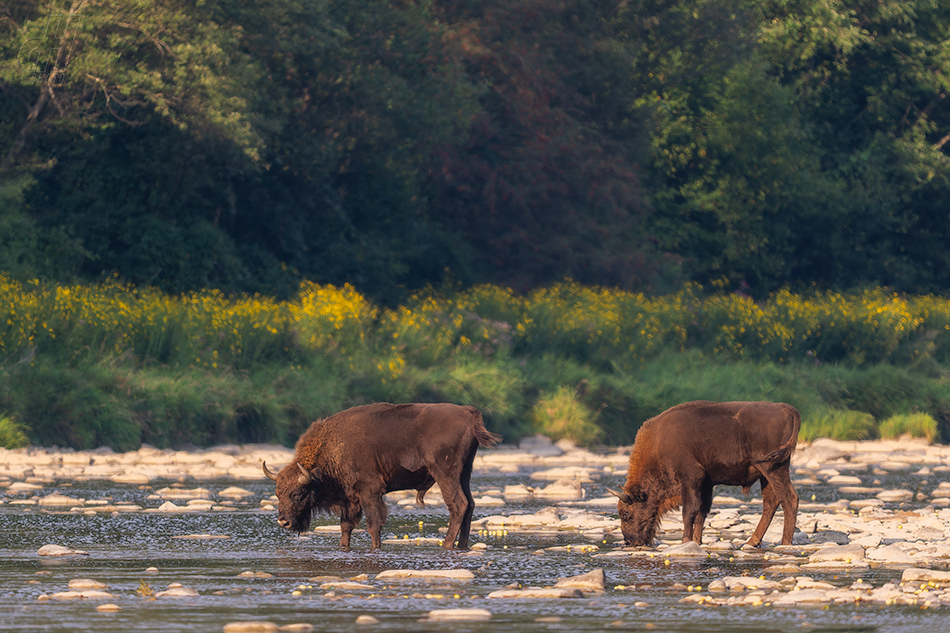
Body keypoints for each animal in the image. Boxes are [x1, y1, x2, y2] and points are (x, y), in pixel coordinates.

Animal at [263, 402, 500, 549]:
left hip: (446, 473)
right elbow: (346, 526)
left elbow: (373, 524)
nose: (283, 522)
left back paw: (447, 544)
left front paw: (375, 548)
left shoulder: (370, 491)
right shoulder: (349, 500)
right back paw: (462, 545)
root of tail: (469, 412)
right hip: (465, 473)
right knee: (470, 504)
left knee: (458, 505)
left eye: (297, 493)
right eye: (278, 494)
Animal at [610, 400, 801, 547]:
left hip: (773, 468)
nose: (629, 541)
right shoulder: (706, 483)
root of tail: (786, 408)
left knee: (788, 498)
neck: (658, 443)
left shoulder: (690, 478)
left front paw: (685, 541)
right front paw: (696, 541)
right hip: (766, 474)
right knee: (771, 502)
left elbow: (689, 511)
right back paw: (752, 542)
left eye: (625, 513)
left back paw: (785, 543)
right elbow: (702, 511)